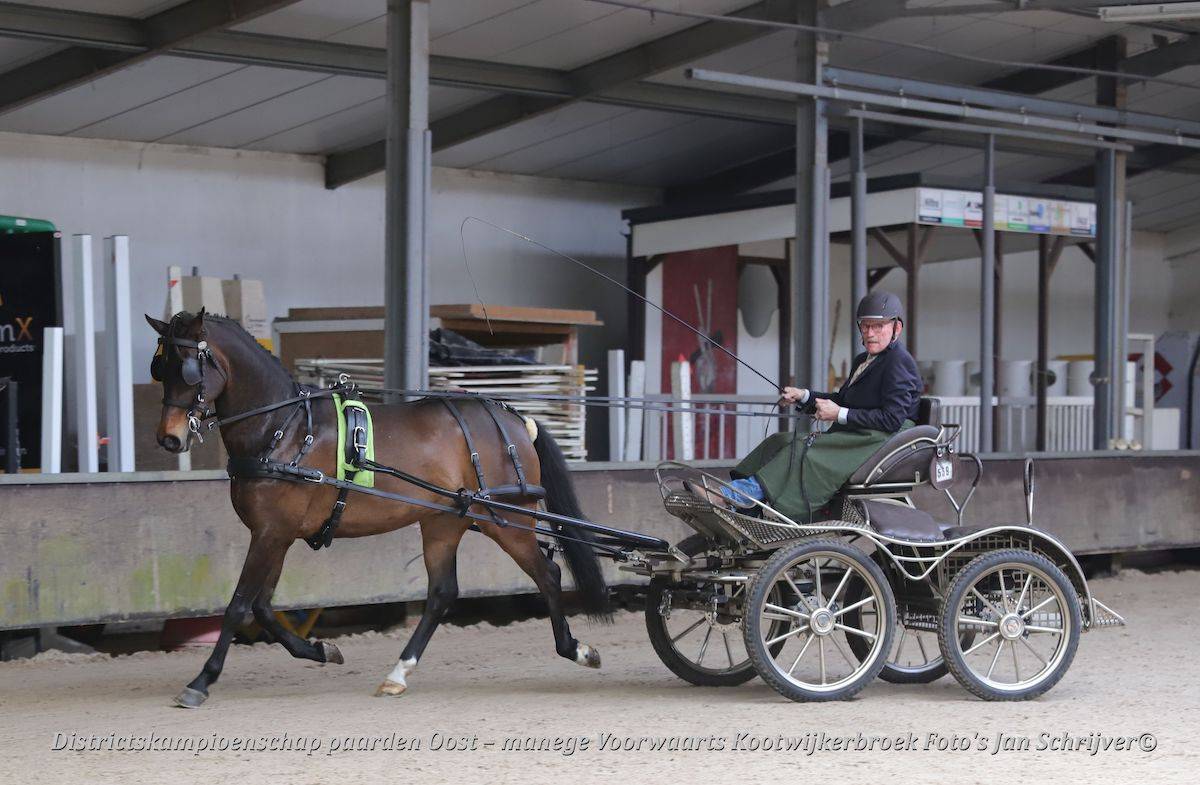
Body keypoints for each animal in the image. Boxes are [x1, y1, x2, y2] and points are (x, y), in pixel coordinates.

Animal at [145, 309, 609, 708]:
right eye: (159, 367)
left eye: (188, 368)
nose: (169, 438)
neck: (285, 430)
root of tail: (514, 419)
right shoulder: (276, 533)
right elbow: (262, 607)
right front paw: (321, 650)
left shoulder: (271, 532)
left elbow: (239, 605)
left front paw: (201, 680)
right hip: (445, 522)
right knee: (442, 593)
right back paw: (398, 673)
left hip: (508, 519)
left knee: (547, 574)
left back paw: (575, 649)